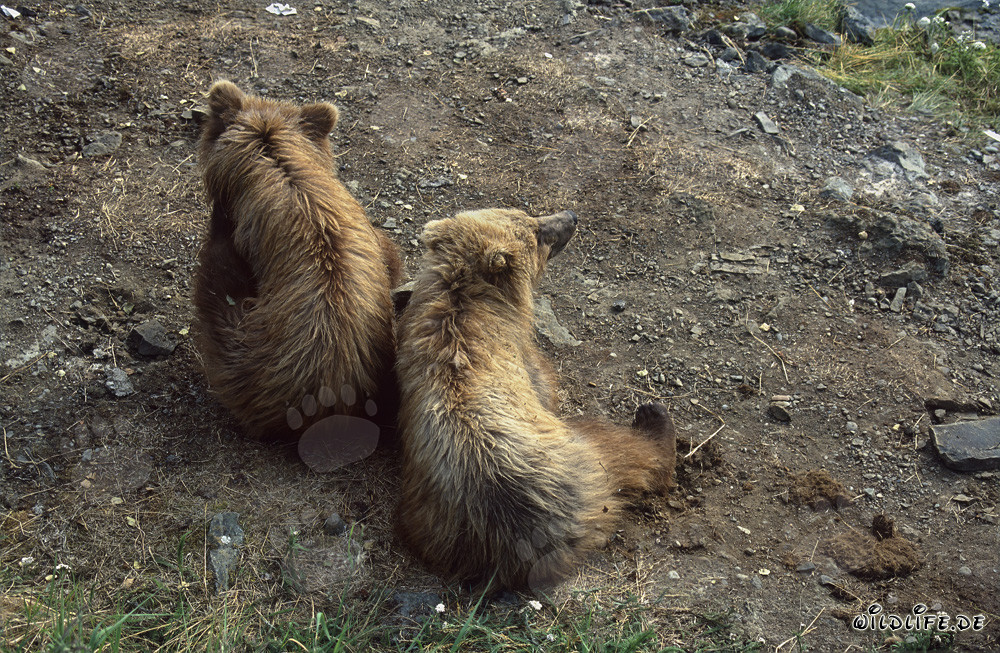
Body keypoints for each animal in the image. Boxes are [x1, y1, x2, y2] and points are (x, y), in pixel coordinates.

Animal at [395, 208, 676, 591]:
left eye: (525, 213)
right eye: (537, 231)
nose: (571, 216)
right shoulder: (522, 355)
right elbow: (545, 383)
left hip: (432, 523)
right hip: (583, 461)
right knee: (628, 451)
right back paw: (652, 416)